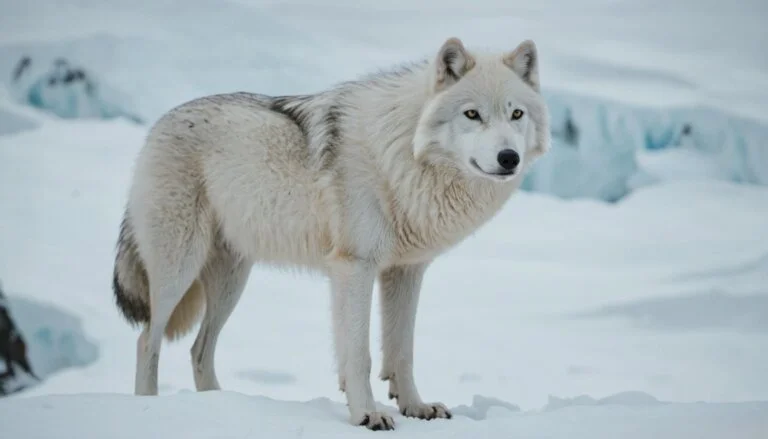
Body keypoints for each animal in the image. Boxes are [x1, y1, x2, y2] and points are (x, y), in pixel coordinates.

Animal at [112, 36, 550, 430]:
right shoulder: (354, 268)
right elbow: (358, 354)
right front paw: (367, 415)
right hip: (179, 270)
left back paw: (221, 407)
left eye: (516, 114)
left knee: (199, 350)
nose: (508, 158)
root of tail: (159, 124)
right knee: (147, 340)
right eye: (472, 114)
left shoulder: (405, 272)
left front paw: (416, 408)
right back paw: (150, 408)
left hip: (231, 283)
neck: (401, 154)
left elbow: (402, 352)